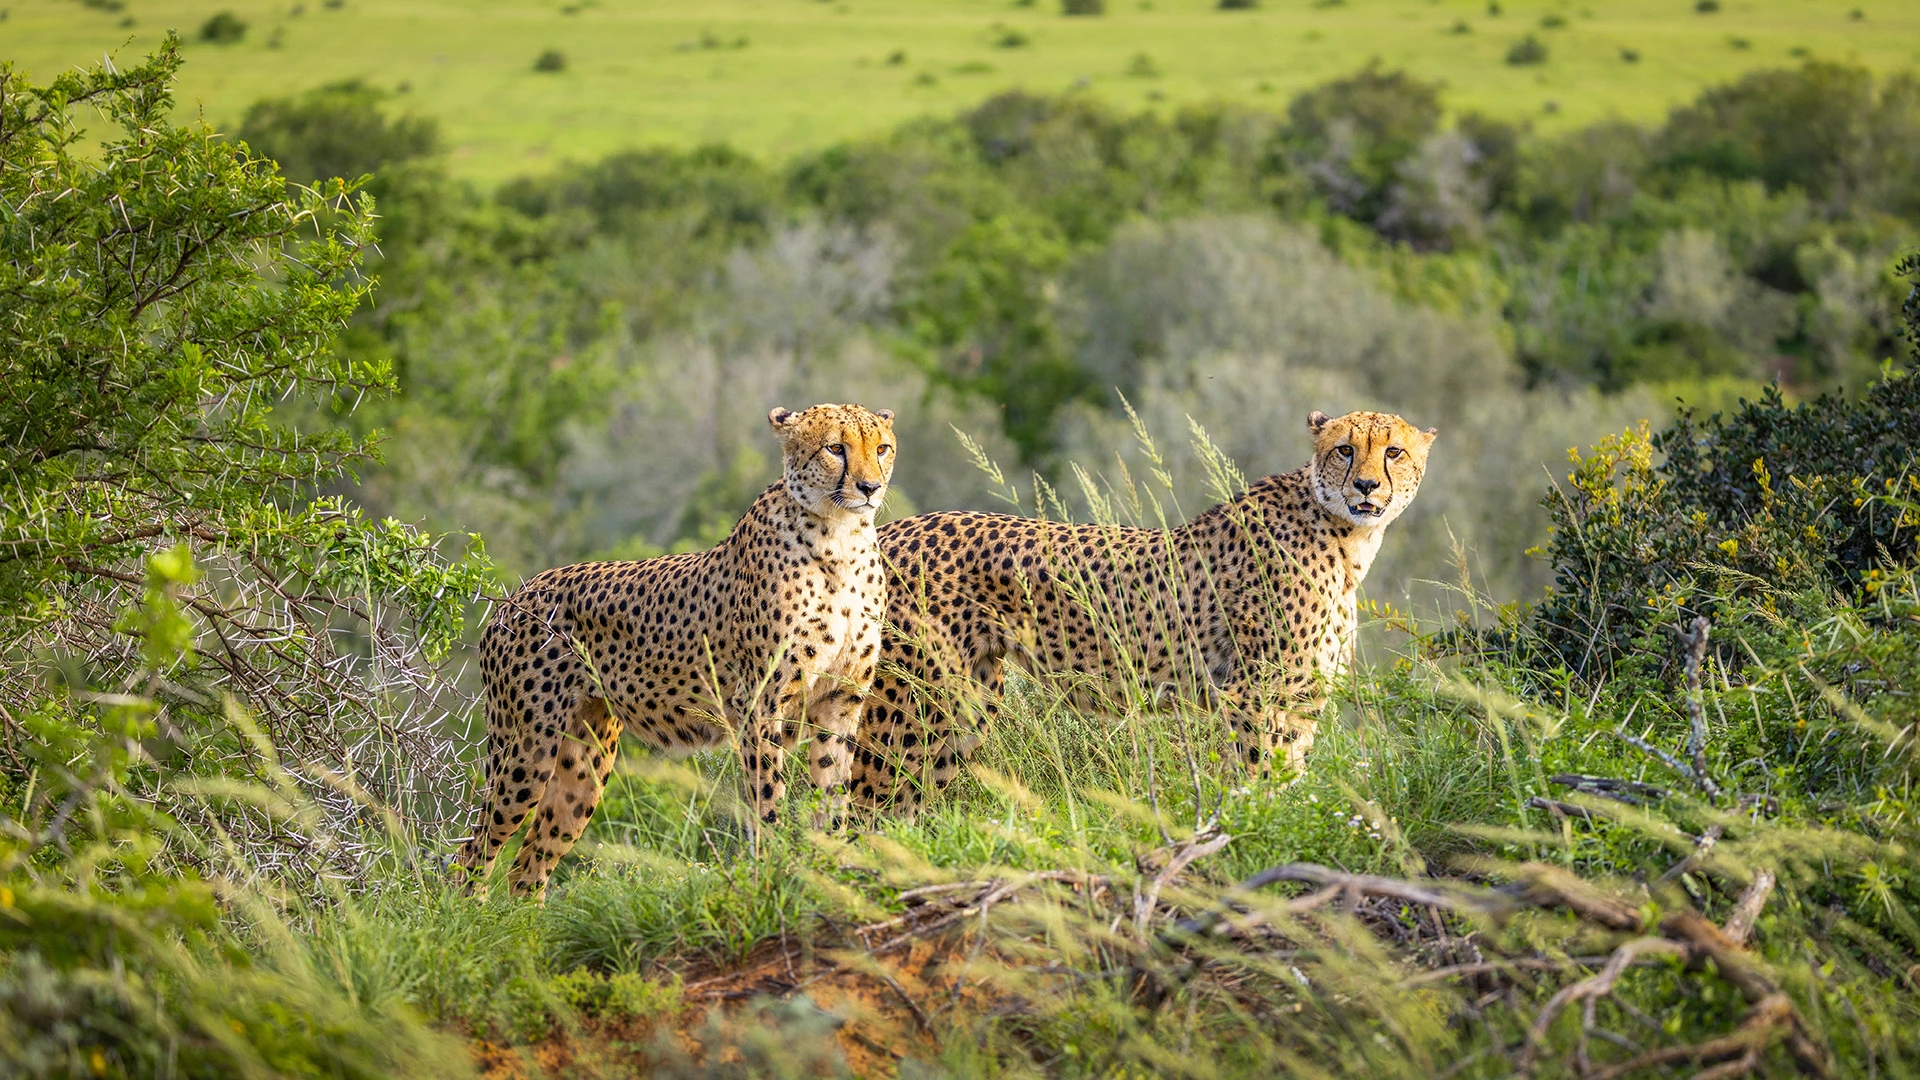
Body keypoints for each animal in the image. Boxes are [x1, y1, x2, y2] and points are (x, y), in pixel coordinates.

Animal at [455, 403, 897, 899]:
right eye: (835, 448)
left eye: (882, 448)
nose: (870, 488)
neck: (841, 538)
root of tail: (514, 595)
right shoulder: (760, 705)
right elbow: (768, 800)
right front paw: (772, 872)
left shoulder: (841, 702)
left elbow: (833, 794)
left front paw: (835, 868)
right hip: (527, 749)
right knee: (474, 850)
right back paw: (469, 911)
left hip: (585, 762)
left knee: (530, 863)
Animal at [849, 409, 1436, 811]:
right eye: (1345, 450)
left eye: (1394, 452)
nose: (1366, 485)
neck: (1346, 537)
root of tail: (896, 527)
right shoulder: (1253, 693)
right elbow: (1254, 776)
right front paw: (1246, 833)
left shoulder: (1302, 698)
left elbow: (1289, 778)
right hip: (909, 704)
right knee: (862, 799)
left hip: (965, 701)